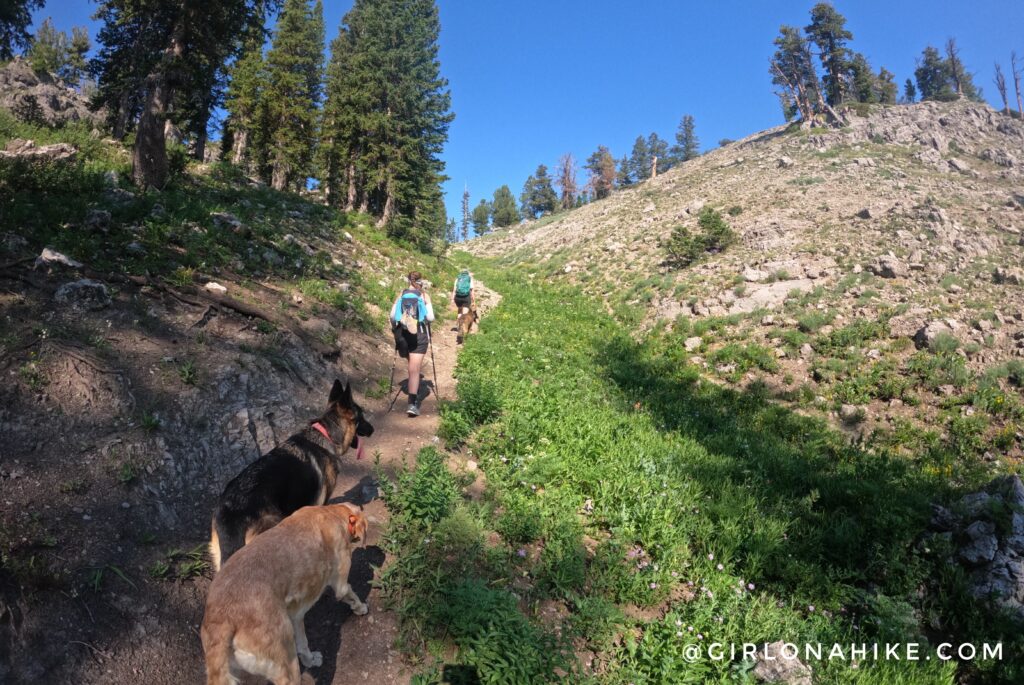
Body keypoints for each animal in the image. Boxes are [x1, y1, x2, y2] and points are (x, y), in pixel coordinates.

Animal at [201, 501, 370, 683]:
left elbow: (303, 643)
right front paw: (361, 608)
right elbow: (351, 595)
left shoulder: (295, 616)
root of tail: (221, 621)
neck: (332, 513)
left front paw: (310, 659)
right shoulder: (341, 584)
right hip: (287, 667)